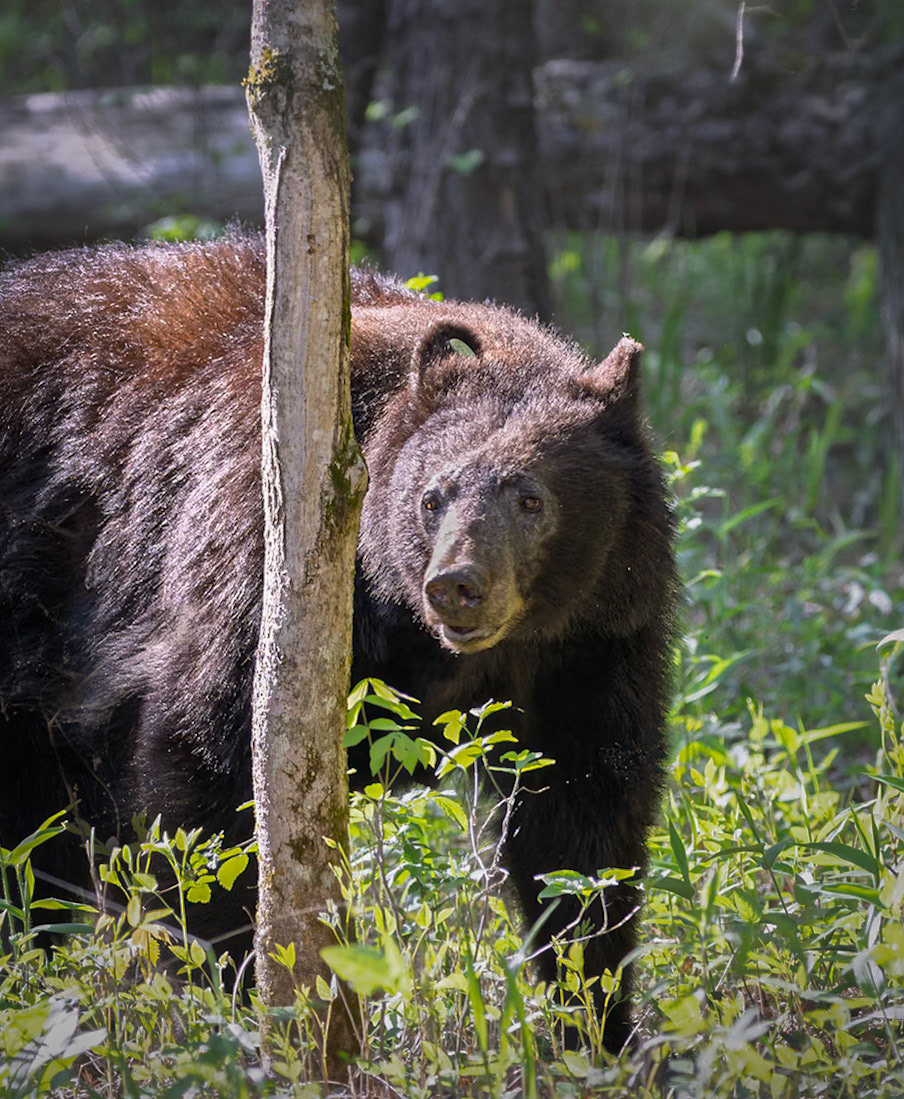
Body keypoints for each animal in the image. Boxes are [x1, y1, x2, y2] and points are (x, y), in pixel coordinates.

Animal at [0, 233, 676, 1053]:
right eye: (432, 496)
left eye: (530, 498)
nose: (457, 585)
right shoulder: (258, 561)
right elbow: (206, 778)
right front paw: (239, 1002)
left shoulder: (594, 642)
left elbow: (586, 822)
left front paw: (598, 1026)